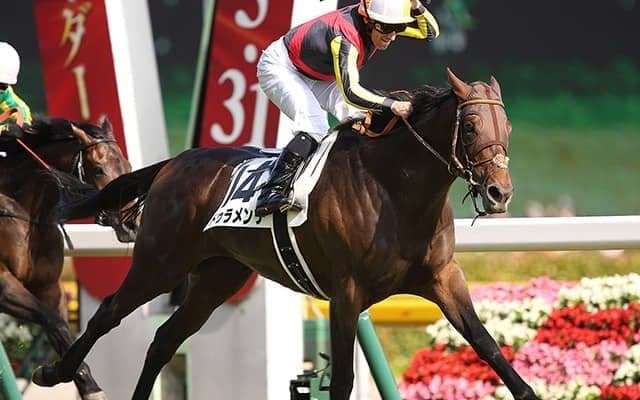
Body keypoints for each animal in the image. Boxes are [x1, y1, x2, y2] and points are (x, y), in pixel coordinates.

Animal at [0, 116, 134, 400]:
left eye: (127, 166)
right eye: (98, 170)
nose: (131, 224)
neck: (26, 212)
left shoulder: (49, 287)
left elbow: (60, 327)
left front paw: (88, 387)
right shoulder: (3, 285)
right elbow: (56, 322)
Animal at [34, 69, 538, 400]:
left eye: (508, 126)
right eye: (469, 126)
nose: (499, 193)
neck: (396, 191)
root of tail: (174, 162)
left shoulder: (442, 277)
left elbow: (487, 345)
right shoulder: (347, 292)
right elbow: (342, 381)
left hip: (218, 277)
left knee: (163, 340)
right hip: (161, 262)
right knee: (109, 315)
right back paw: (55, 371)